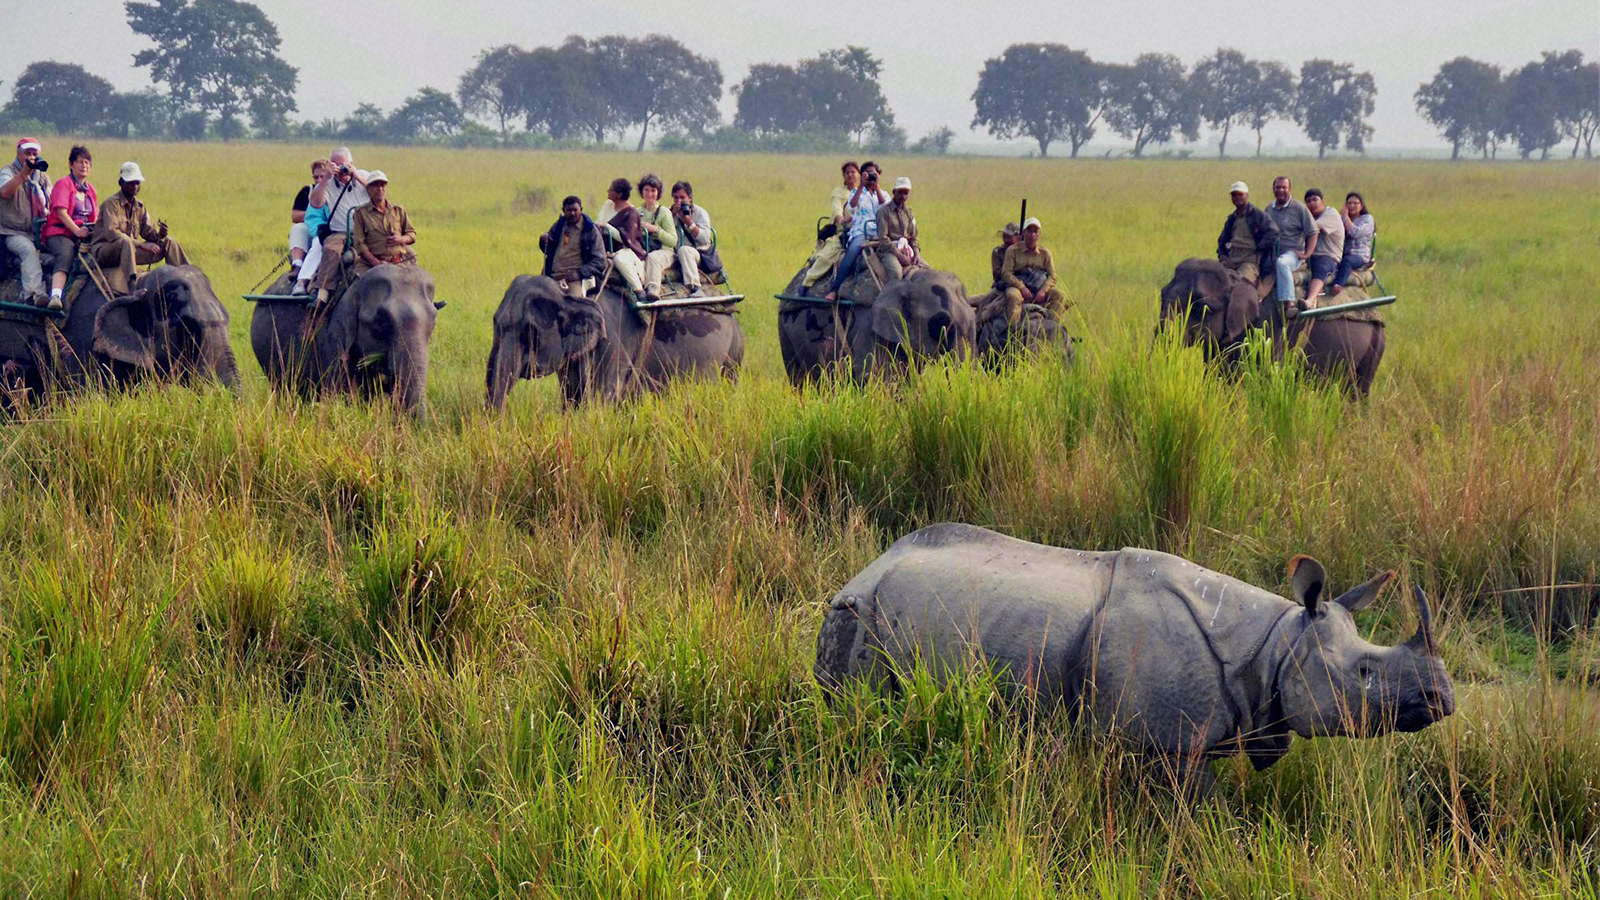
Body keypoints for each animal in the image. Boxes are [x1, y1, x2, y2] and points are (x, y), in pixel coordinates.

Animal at [480, 269, 742, 403]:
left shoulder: (614, 344)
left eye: (530, 331)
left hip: (734, 353)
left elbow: (602, 399)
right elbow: (571, 397)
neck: (570, 294)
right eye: (495, 324)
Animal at [1164, 256, 1388, 395]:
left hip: (1375, 345)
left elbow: (1261, 378)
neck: (1237, 278)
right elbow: (1216, 373)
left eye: (1202, 306)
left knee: (1358, 391)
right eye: (1162, 293)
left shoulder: (1271, 329)